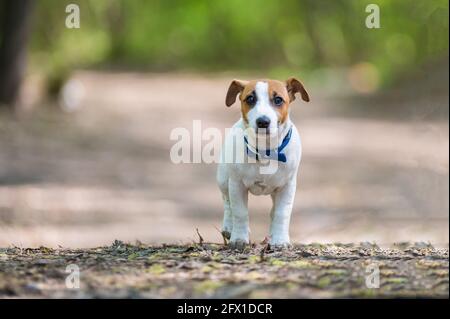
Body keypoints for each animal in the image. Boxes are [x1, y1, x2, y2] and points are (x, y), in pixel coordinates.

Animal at [217, 77, 310, 250]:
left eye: (278, 100)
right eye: (250, 99)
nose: (263, 122)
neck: (265, 150)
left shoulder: (287, 186)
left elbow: (281, 213)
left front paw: (280, 240)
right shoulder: (237, 184)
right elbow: (239, 212)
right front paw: (239, 238)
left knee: (273, 211)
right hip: (223, 179)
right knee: (227, 202)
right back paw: (228, 227)